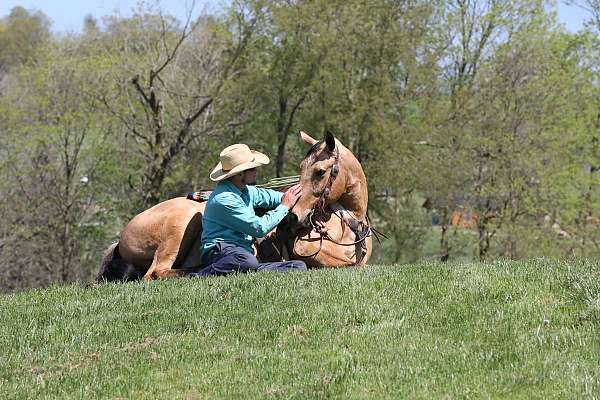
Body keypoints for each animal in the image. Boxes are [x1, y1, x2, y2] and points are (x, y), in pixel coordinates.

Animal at [96, 130, 372, 282]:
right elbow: (350, 266)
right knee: (157, 272)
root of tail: (121, 239)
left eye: (320, 171)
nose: (293, 218)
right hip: (181, 224)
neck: (349, 224)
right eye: (302, 169)